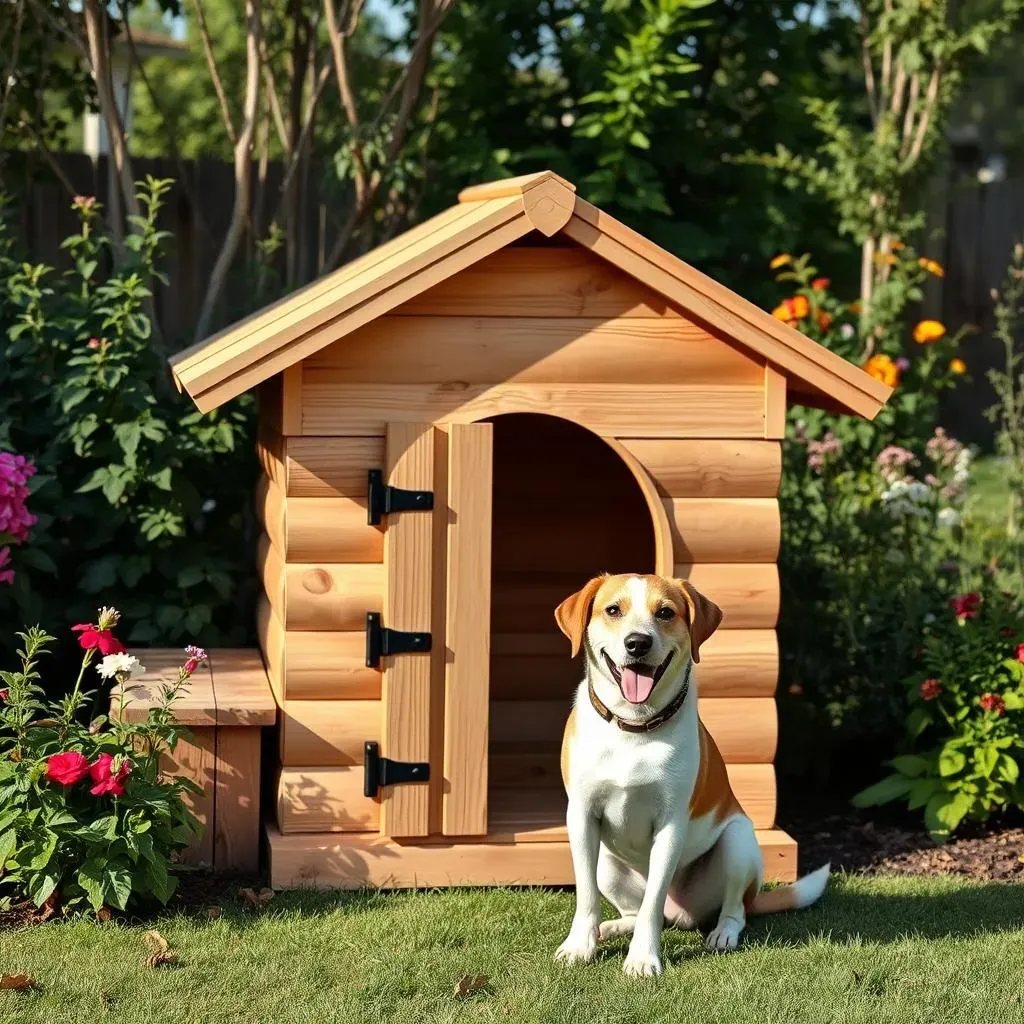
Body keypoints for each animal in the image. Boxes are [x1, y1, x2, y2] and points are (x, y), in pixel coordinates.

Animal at [552, 573, 831, 978]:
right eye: (613, 610)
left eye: (665, 612)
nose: (637, 643)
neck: (634, 729)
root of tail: (681, 913)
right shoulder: (582, 815)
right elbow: (586, 894)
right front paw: (579, 946)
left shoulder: (671, 824)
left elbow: (653, 903)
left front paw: (643, 958)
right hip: (607, 861)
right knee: (634, 910)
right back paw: (613, 926)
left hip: (738, 841)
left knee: (731, 910)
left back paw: (722, 934)